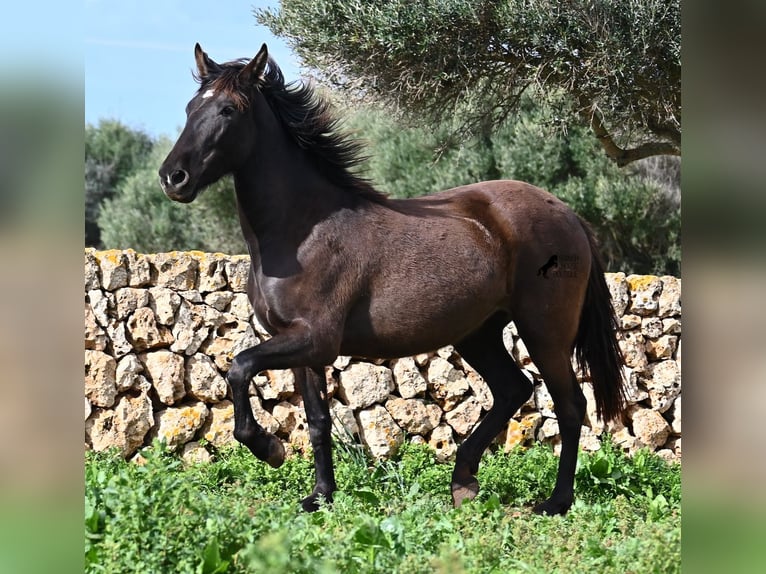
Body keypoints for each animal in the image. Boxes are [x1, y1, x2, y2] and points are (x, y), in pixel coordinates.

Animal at [159, 42, 628, 516]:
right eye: (190, 109)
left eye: (228, 110)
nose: (172, 178)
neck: (303, 230)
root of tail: (568, 214)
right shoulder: (298, 345)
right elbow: (317, 420)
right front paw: (320, 496)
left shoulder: (314, 339)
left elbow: (239, 368)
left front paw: (269, 449)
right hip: (478, 333)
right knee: (513, 389)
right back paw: (463, 483)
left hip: (544, 330)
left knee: (570, 405)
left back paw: (555, 502)